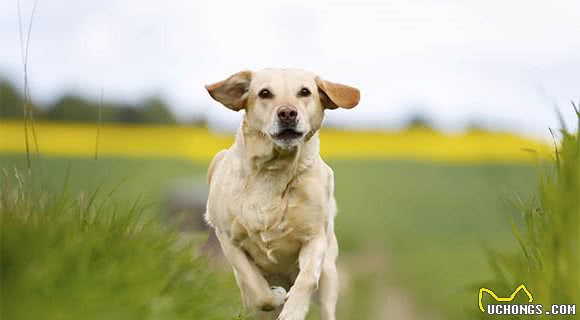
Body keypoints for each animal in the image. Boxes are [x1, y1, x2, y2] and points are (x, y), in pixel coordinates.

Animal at [204, 69, 358, 318]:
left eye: (304, 92)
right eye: (265, 93)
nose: (287, 113)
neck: (273, 171)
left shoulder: (314, 238)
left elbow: (307, 279)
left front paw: (293, 310)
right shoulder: (226, 237)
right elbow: (256, 289)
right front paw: (275, 295)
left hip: (329, 275)